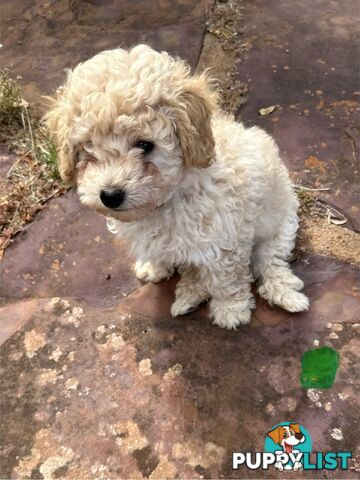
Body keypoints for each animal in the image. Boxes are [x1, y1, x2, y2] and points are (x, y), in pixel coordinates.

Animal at [45, 44, 310, 330]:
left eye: (145, 144)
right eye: (88, 147)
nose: (110, 195)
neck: (169, 197)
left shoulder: (226, 238)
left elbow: (227, 278)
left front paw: (231, 310)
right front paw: (154, 268)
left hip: (281, 226)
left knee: (270, 261)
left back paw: (284, 292)